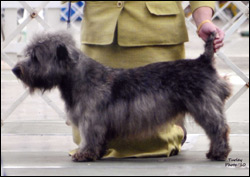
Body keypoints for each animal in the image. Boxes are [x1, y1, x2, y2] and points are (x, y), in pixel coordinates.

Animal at [12, 30, 231, 162]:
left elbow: (88, 137)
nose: (16, 69)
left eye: (36, 57)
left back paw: (218, 153)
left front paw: (84, 154)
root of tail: (203, 61)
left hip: (204, 108)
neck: (79, 77)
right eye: (29, 53)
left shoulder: (90, 120)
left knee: (218, 129)